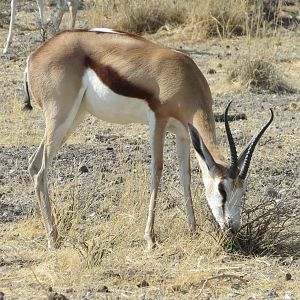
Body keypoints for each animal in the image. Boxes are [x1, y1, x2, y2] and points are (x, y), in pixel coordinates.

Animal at [25, 28, 274, 250]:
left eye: (242, 190)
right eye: (222, 190)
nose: (233, 227)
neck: (184, 75)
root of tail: (34, 55)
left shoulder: (183, 133)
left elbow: (185, 176)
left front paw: (193, 229)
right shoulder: (158, 121)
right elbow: (157, 170)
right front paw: (150, 239)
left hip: (74, 117)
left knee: (34, 164)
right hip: (60, 117)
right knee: (41, 170)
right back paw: (53, 240)